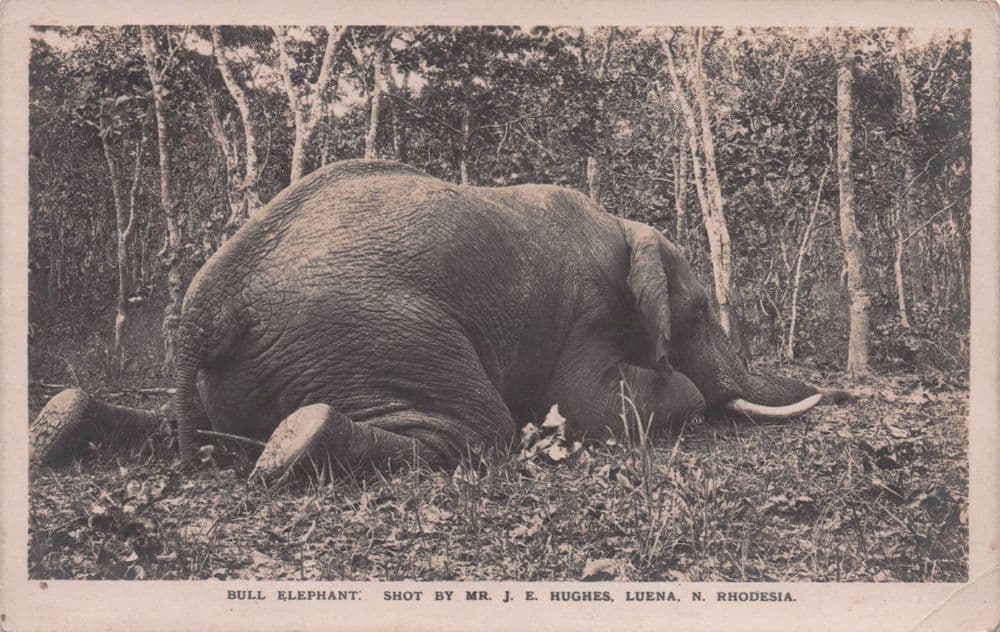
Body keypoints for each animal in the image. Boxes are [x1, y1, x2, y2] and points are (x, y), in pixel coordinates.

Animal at [31, 159, 847, 479]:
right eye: (702, 311)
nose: (835, 392)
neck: (625, 226)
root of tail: (208, 306)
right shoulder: (586, 308)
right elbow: (590, 404)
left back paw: (59, 423)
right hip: (370, 330)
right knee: (478, 430)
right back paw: (300, 442)